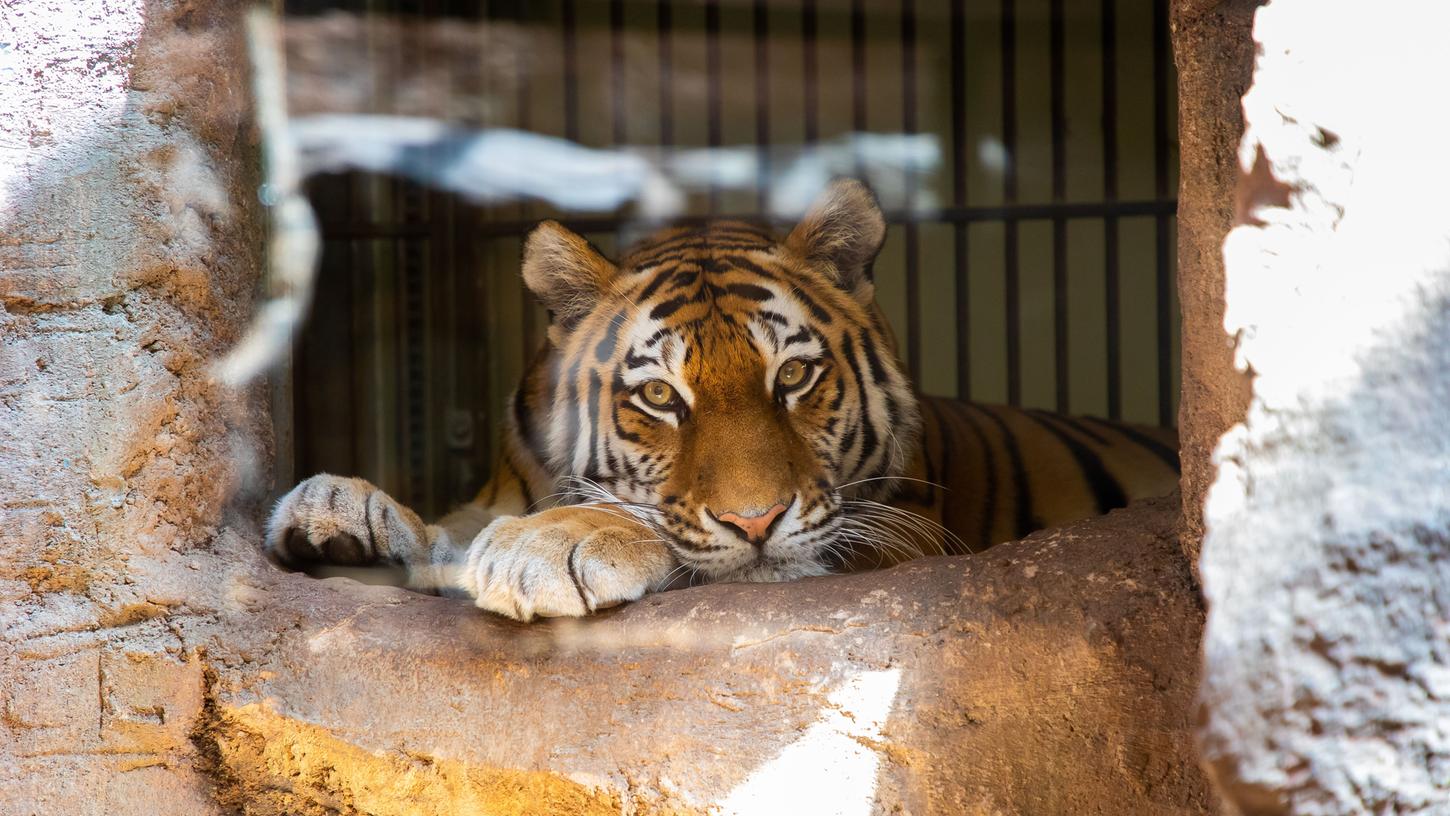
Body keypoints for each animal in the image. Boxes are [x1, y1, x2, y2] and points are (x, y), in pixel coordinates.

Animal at [269, 181, 1177, 623]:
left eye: (793, 379)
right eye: (660, 396)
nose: (757, 520)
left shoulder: (902, 539)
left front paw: (552, 544)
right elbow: (443, 525)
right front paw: (340, 513)